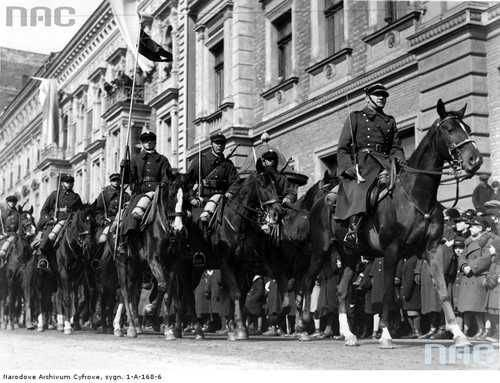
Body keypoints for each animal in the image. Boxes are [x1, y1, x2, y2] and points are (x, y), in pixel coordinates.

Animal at [116, 173, 187, 340]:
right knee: (124, 292)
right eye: (172, 195)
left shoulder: (173, 263)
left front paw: (169, 330)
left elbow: (168, 292)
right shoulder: (154, 260)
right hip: (123, 263)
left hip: (136, 267)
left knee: (133, 292)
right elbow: (162, 285)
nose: (179, 230)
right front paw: (150, 308)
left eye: (187, 197)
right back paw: (130, 328)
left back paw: (134, 325)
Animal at [306, 100, 482, 348]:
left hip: (350, 255)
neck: (416, 196)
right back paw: (304, 326)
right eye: (449, 129)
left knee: (340, 291)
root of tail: (321, 199)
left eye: (467, 127)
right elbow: (388, 293)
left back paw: (349, 334)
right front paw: (386, 334)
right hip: (320, 250)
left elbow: (442, 290)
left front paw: (458, 333)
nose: (475, 160)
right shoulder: (392, 250)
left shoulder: (432, 250)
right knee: (307, 282)